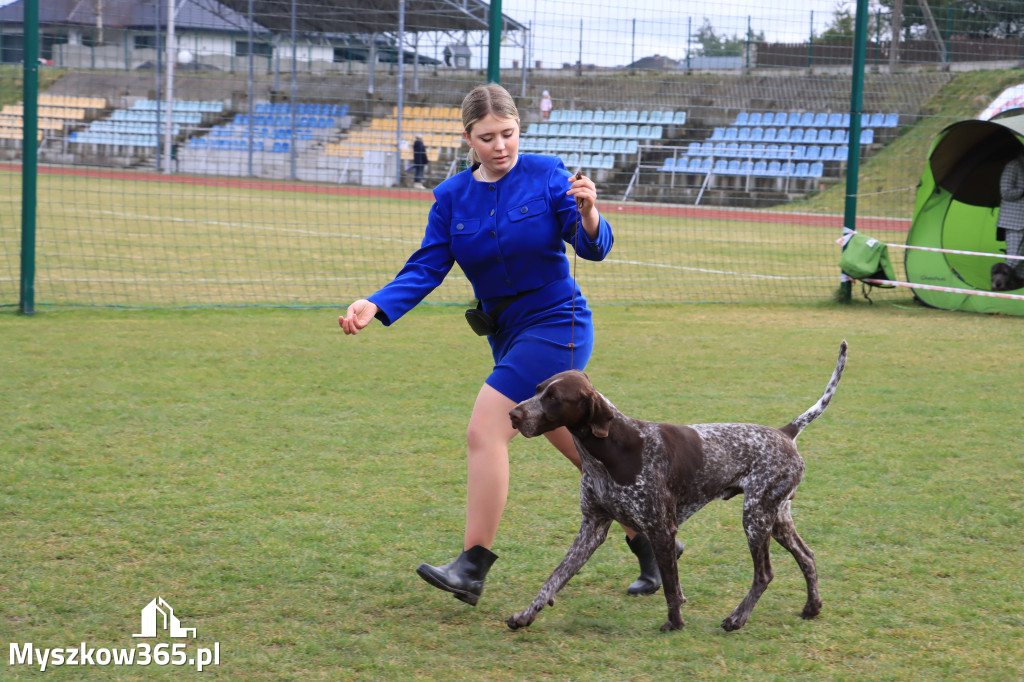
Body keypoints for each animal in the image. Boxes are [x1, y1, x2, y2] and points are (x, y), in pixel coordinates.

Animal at [505, 339, 847, 630]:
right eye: (537, 389)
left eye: (554, 398)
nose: (512, 414)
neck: (609, 452)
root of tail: (785, 432)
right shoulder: (592, 527)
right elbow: (554, 578)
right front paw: (525, 615)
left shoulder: (661, 529)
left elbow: (671, 585)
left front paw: (675, 623)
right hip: (776, 518)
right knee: (807, 556)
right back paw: (812, 607)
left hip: (756, 517)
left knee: (764, 574)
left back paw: (737, 618)